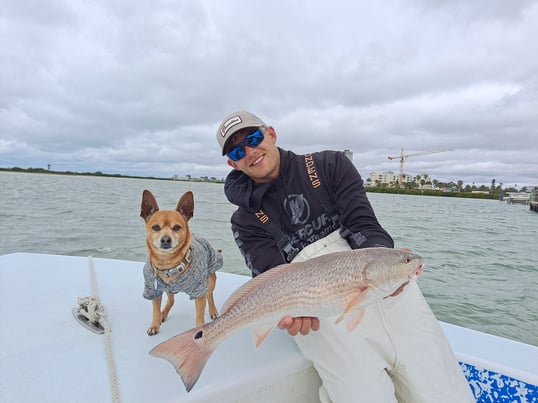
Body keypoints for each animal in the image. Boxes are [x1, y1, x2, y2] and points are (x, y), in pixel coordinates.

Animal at [140, 189, 223, 335]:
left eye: (177, 227)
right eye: (156, 227)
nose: (165, 239)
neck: (168, 264)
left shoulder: (199, 292)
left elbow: (199, 316)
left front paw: (199, 332)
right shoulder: (153, 290)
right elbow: (155, 311)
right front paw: (155, 324)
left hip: (210, 279)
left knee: (209, 295)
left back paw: (213, 311)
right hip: (167, 289)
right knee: (171, 300)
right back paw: (163, 314)